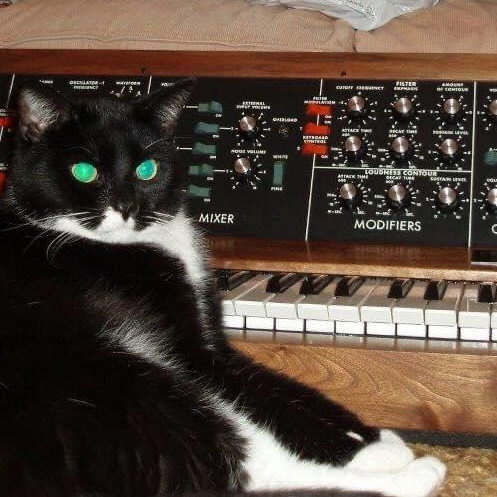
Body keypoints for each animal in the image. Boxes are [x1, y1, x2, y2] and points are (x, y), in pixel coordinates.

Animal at [0, 78, 446, 497]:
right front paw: (367, 452)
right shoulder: (189, 352)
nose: (127, 207)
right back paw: (418, 473)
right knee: (235, 470)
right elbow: (263, 399)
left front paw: (376, 436)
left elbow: (279, 385)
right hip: (119, 378)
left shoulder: (214, 341)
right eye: (84, 171)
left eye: (147, 169)